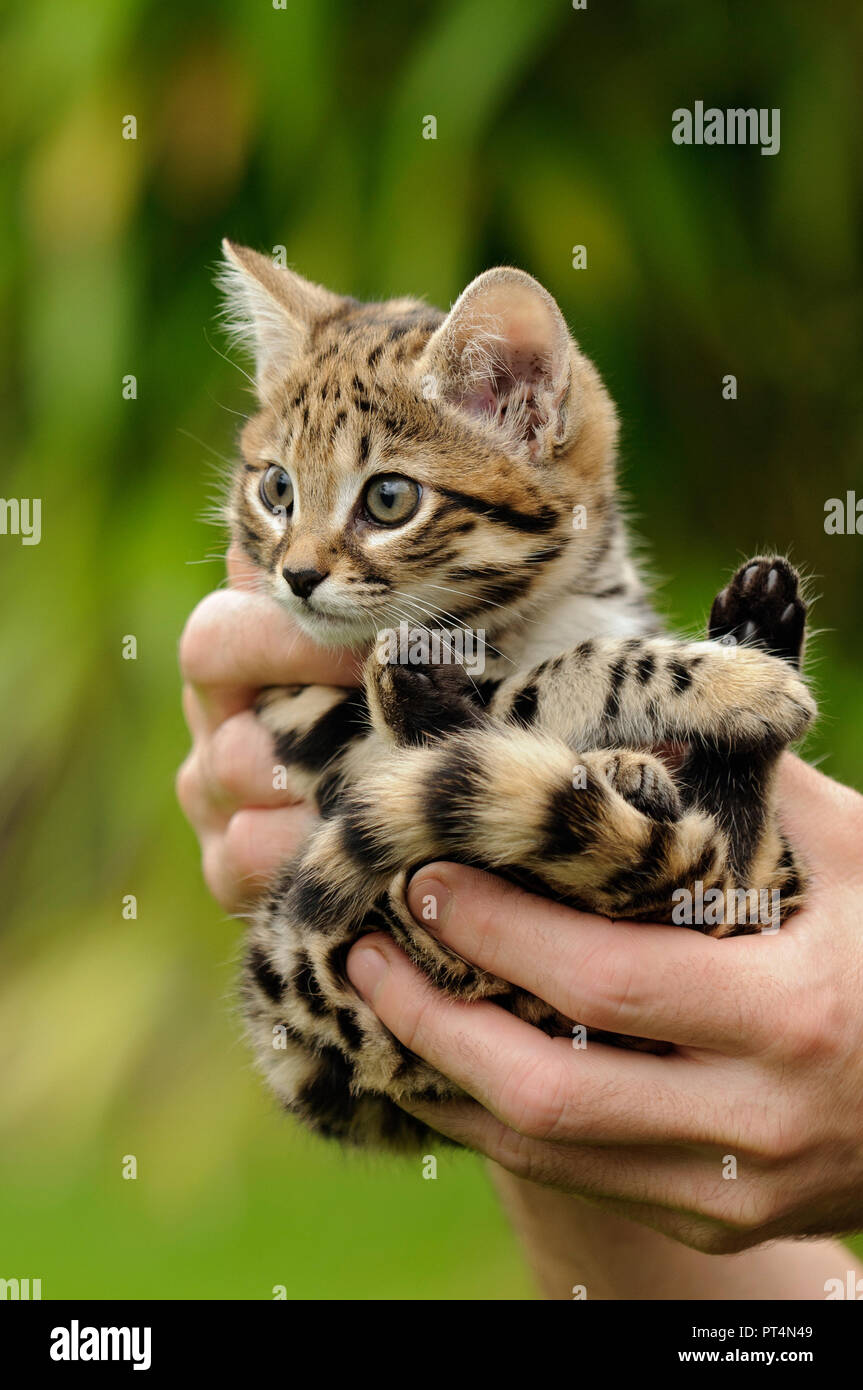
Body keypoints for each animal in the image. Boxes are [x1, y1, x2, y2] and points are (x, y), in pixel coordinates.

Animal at [216, 239, 817, 1150]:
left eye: (388, 498)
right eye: (276, 489)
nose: (297, 576)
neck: (539, 609)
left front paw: (733, 668)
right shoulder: (317, 719)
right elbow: (555, 678)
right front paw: (728, 682)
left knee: (730, 874)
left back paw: (753, 629)